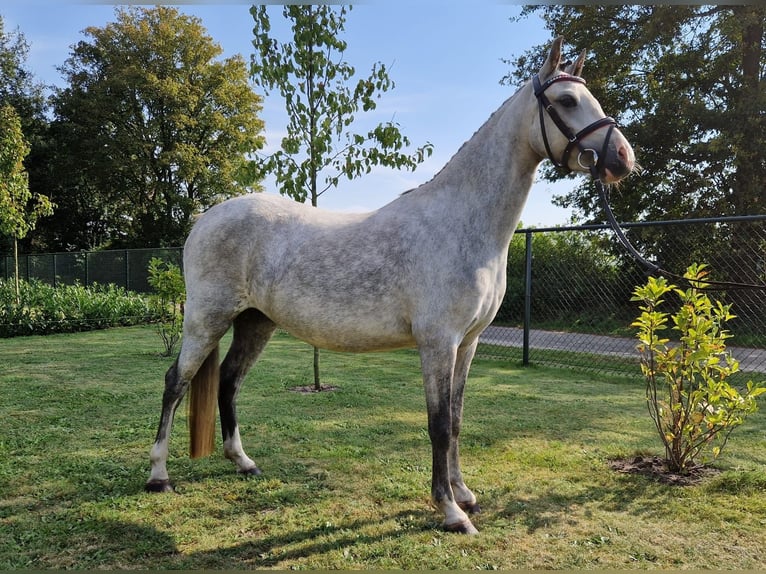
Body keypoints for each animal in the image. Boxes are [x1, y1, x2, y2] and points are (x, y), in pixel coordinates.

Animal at [144, 38, 636, 536]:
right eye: (567, 100)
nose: (622, 158)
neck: (462, 223)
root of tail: (205, 219)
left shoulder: (468, 344)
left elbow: (457, 420)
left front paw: (464, 494)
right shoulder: (438, 343)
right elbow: (439, 425)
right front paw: (451, 511)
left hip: (255, 322)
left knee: (228, 381)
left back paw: (243, 462)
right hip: (207, 319)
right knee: (175, 382)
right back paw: (158, 476)